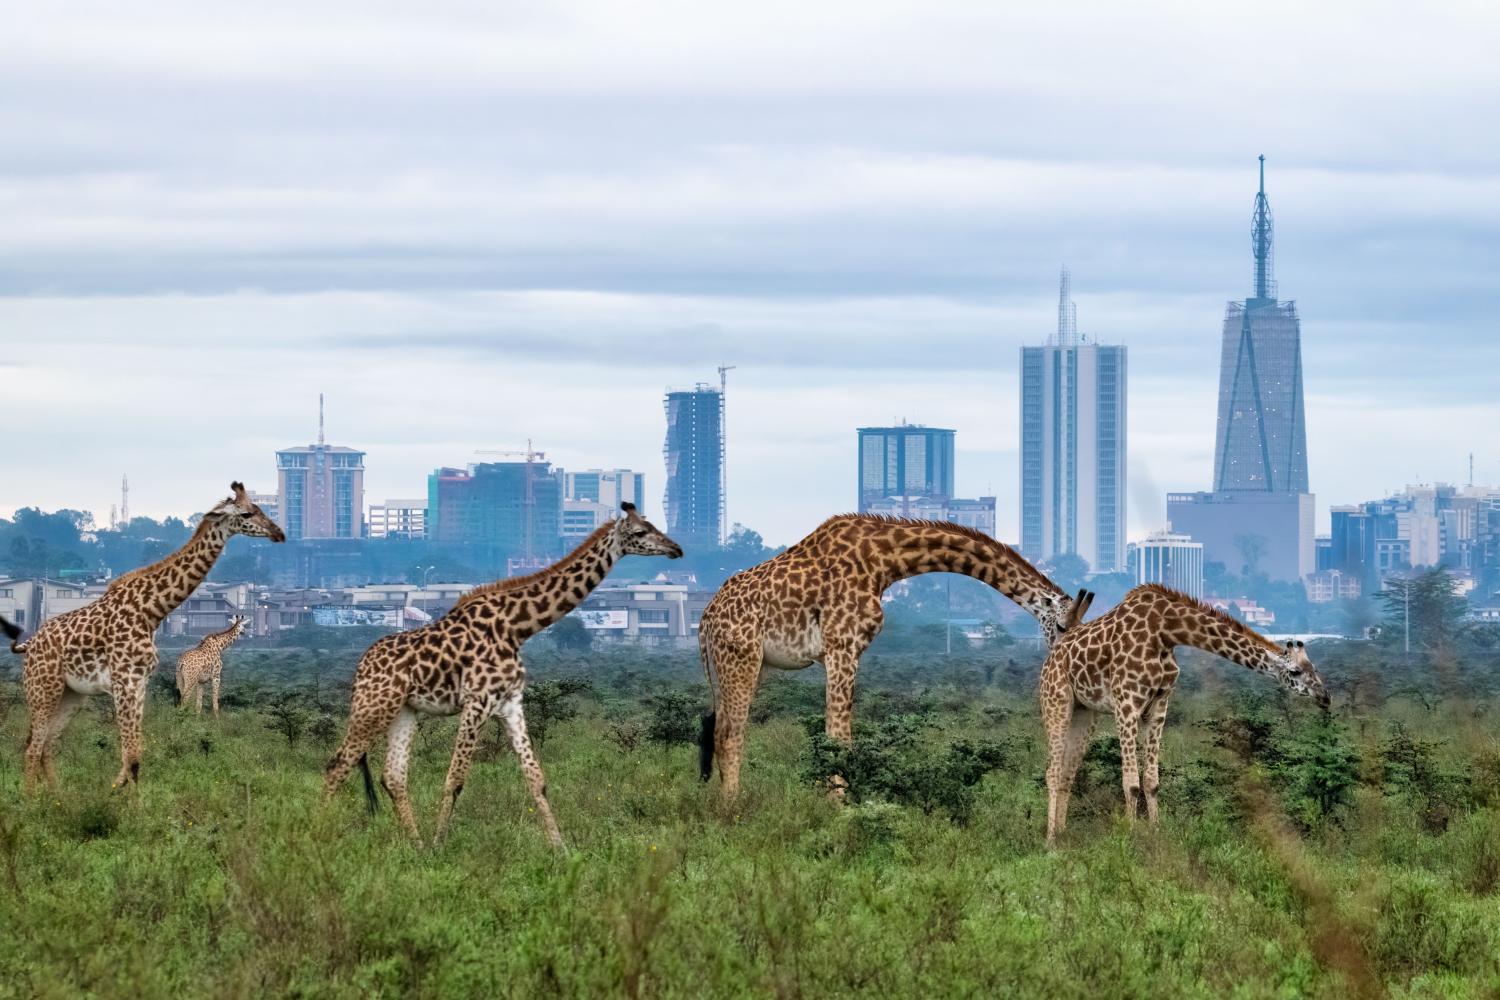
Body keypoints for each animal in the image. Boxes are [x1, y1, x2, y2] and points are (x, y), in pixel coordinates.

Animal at [10, 479, 283, 791]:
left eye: (260, 507)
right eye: (247, 513)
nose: (279, 533)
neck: (150, 610)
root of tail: (30, 644)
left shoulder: (141, 683)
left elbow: (137, 754)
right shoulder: (132, 682)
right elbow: (135, 753)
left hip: (73, 694)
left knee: (47, 745)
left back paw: (58, 798)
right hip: (43, 688)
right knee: (33, 747)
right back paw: (34, 800)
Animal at [328, 503, 687, 851]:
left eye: (654, 525)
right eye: (640, 532)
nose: (676, 549)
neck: (517, 627)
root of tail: (361, 666)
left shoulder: (511, 704)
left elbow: (536, 779)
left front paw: (561, 850)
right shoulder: (477, 702)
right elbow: (455, 780)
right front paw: (438, 847)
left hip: (404, 710)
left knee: (393, 776)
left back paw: (414, 845)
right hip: (373, 705)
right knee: (338, 763)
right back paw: (322, 833)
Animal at [696, 515, 1086, 803]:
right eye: (1061, 625)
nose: (1061, 655)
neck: (884, 561)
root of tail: (706, 617)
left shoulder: (842, 652)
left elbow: (833, 733)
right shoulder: (843, 647)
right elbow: (840, 736)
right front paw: (839, 807)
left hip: (752, 665)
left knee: (721, 729)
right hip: (740, 658)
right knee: (729, 733)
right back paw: (732, 807)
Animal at [1038, 581, 1332, 851]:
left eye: (1314, 668)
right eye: (1294, 672)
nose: (1325, 696)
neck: (1166, 631)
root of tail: (1050, 658)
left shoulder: (1159, 705)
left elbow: (1152, 781)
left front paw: (1156, 834)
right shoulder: (1126, 702)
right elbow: (1131, 783)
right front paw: (1131, 838)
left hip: (1084, 712)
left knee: (1067, 773)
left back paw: (1063, 835)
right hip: (1056, 701)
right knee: (1052, 770)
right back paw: (1051, 842)